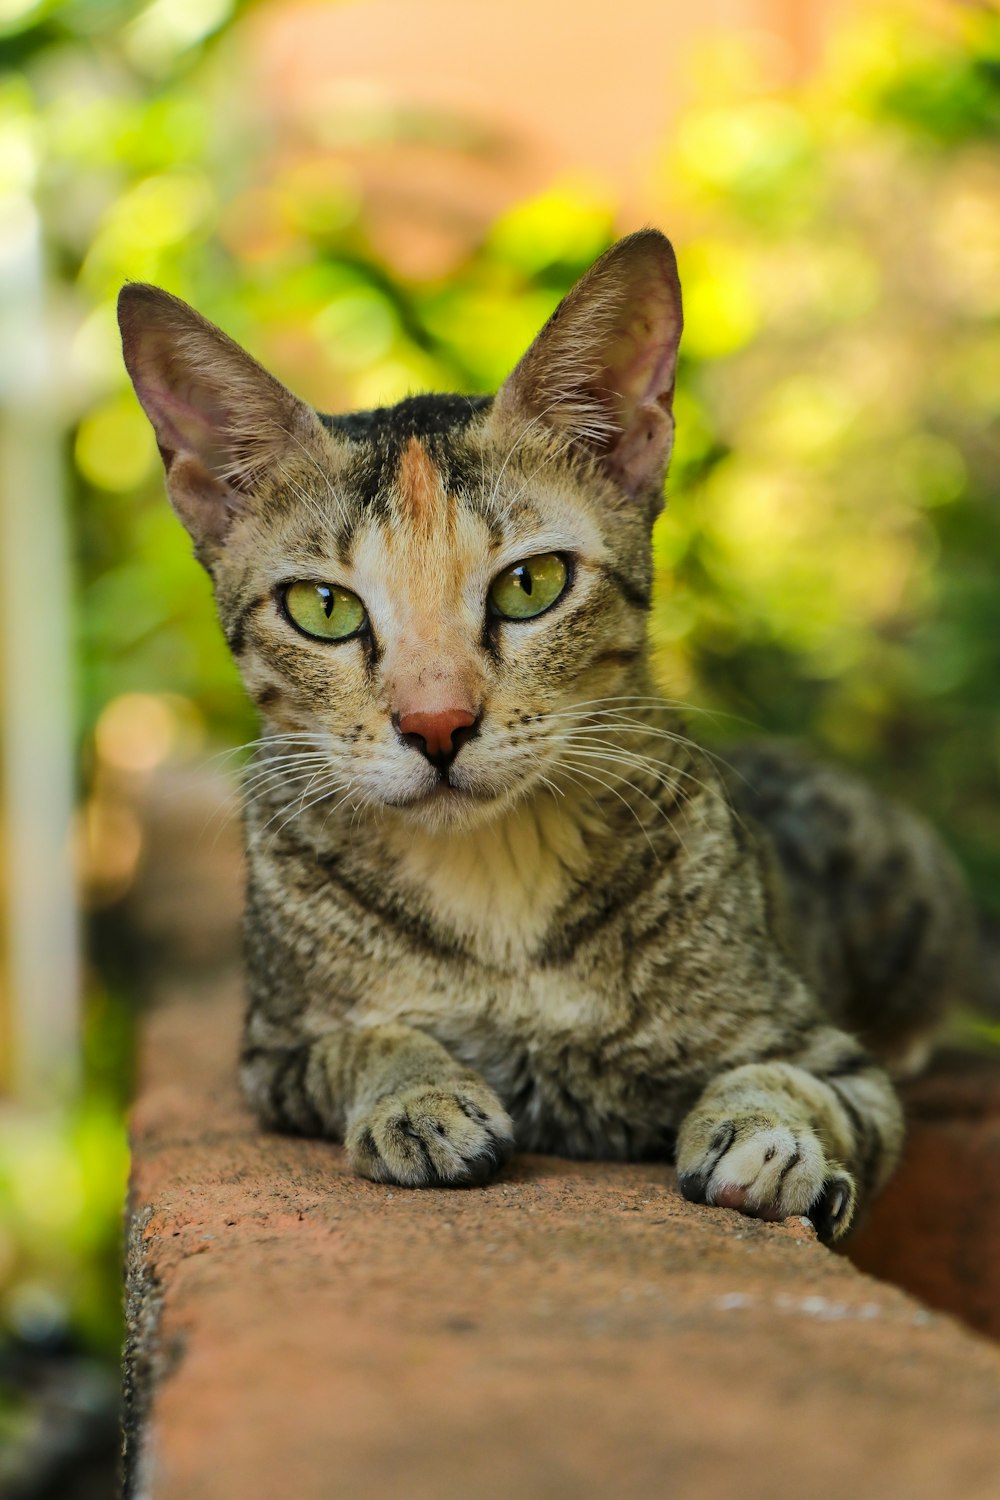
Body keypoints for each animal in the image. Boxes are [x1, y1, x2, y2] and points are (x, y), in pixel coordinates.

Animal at [119, 231, 977, 1242]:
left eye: (531, 585)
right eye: (323, 607)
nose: (437, 723)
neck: (496, 891)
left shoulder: (833, 1058)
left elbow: (794, 1080)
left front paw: (770, 1138)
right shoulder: (275, 1056)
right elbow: (365, 1040)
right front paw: (419, 1094)